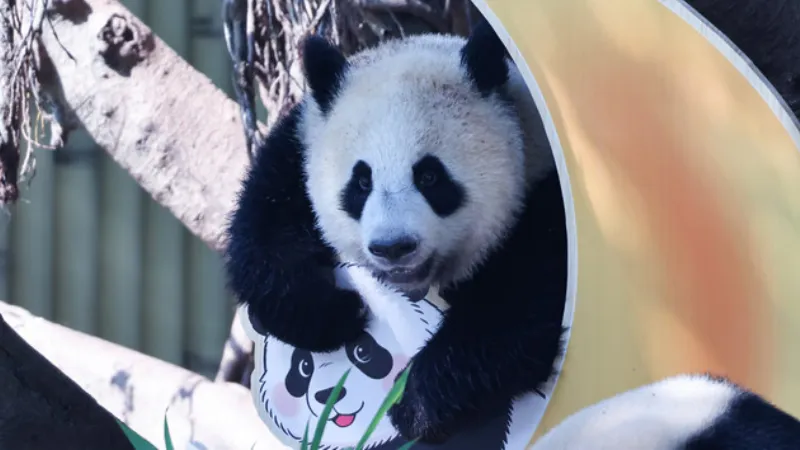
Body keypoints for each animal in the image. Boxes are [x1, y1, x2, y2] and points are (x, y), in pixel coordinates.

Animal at [224, 19, 568, 444]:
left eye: (430, 176)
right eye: (361, 182)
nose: (393, 247)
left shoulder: (545, 194)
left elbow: (520, 305)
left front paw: (414, 401)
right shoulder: (299, 146)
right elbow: (263, 229)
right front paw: (332, 312)